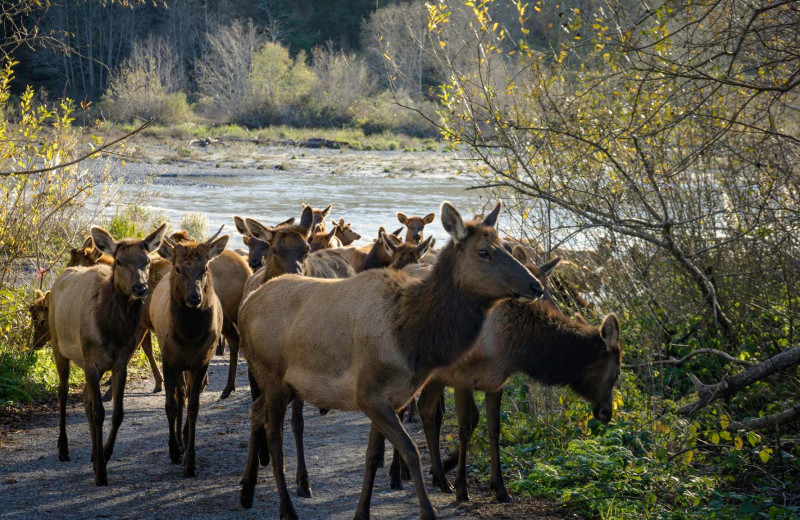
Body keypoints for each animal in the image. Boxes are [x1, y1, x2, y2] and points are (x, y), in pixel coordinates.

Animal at [48, 224, 166, 488]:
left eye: (146, 261)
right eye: (120, 261)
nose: (140, 288)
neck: (111, 331)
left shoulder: (120, 363)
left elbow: (117, 413)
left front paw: (104, 454)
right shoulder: (91, 362)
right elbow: (99, 412)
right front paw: (101, 473)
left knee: (85, 398)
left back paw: (93, 453)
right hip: (58, 346)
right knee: (62, 392)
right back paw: (63, 449)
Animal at [149, 228, 228, 476]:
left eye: (204, 269)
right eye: (178, 269)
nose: (195, 298)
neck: (189, 337)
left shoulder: (201, 361)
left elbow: (194, 406)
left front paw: (190, 460)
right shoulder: (168, 358)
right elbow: (171, 404)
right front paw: (174, 450)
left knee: (186, 394)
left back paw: (183, 438)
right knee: (179, 395)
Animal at [239, 200, 544, 520]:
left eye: (506, 247)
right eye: (484, 251)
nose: (536, 286)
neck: (410, 337)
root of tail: (246, 305)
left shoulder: (391, 397)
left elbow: (373, 456)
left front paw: (362, 512)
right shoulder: (369, 394)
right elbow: (411, 451)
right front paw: (428, 511)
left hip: (282, 384)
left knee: (256, 411)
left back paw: (247, 491)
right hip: (272, 375)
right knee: (274, 437)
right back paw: (287, 508)